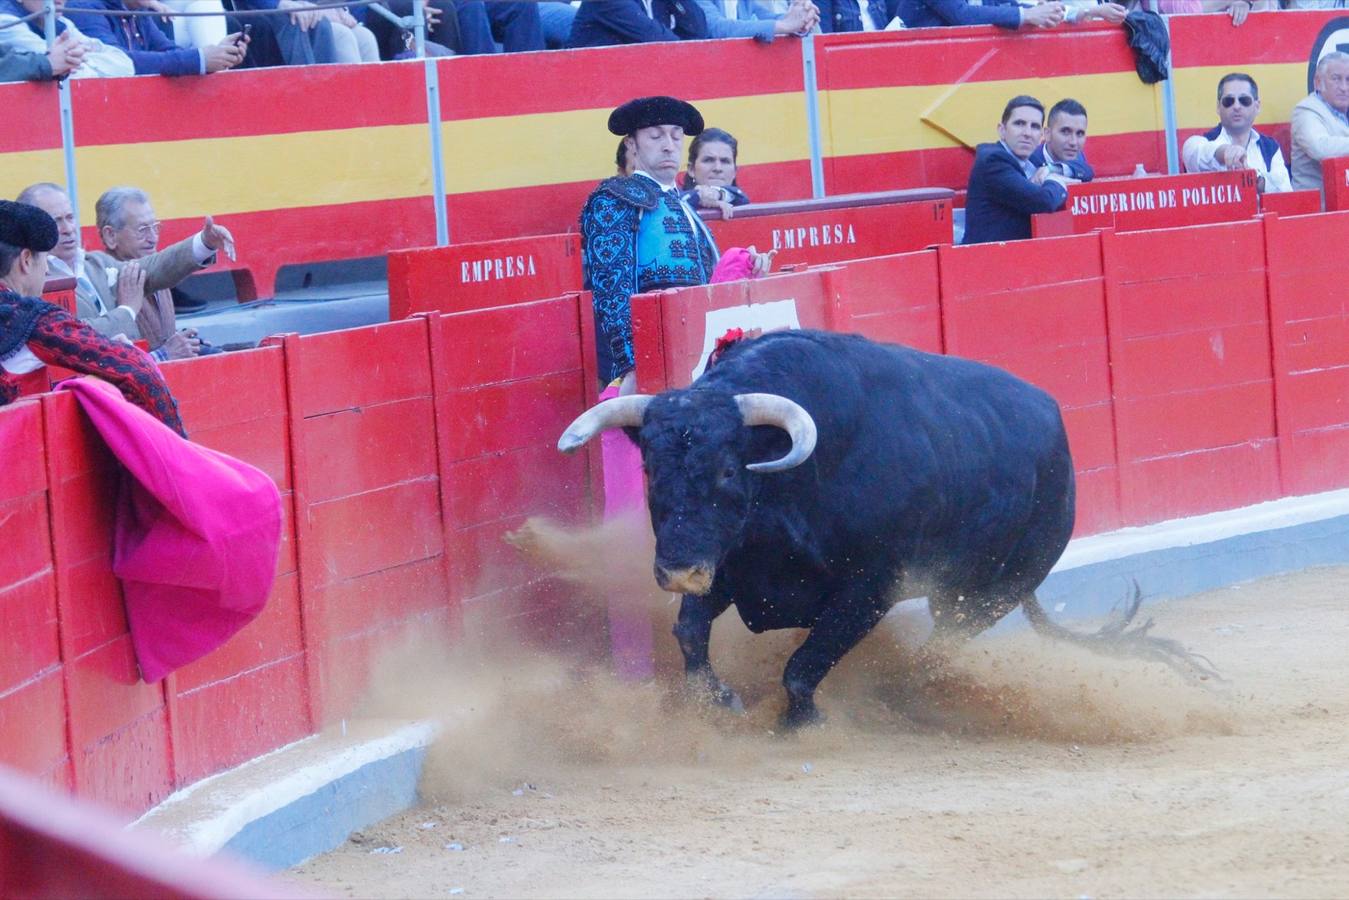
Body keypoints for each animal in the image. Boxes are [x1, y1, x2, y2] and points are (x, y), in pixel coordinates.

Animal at [555, 327, 1214, 728]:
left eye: (726, 467)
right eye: (648, 466)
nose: (679, 570)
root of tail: (1058, 435)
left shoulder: (867, 591)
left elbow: (803, 665)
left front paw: (802, 722)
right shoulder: (730, 565)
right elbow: (690, 634)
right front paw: (722, 702)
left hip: (988, 594)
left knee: (937, 651)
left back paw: (909, 699)